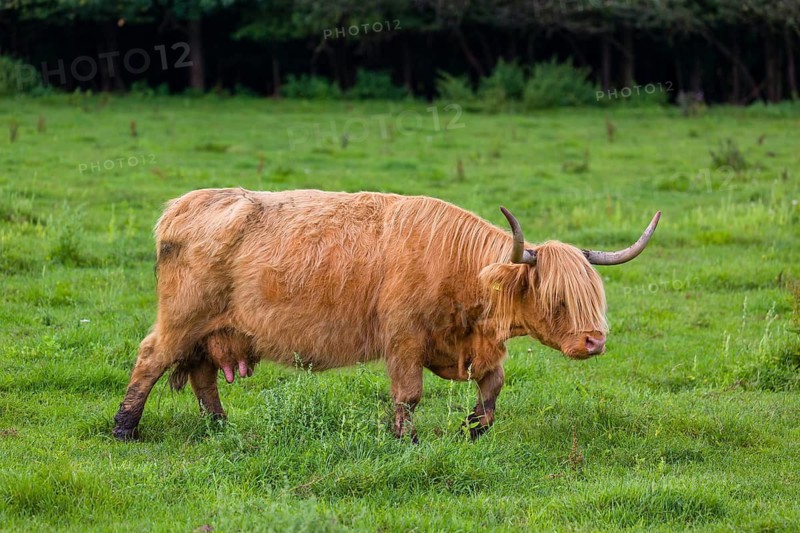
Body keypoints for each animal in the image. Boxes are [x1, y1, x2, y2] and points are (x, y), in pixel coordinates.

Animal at [113, 188, 660, 441]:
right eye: (557, 298)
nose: (594, 341)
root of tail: (183, 204)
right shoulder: (403, 339)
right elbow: (408, 394)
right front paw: (406, 440)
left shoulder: (478, 348)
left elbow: (492, 388)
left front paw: (472, 429)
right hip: (183, 319)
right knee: (150, 359)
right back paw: (124, 429)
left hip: (214, 332)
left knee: (203, 377)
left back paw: (221, 427)